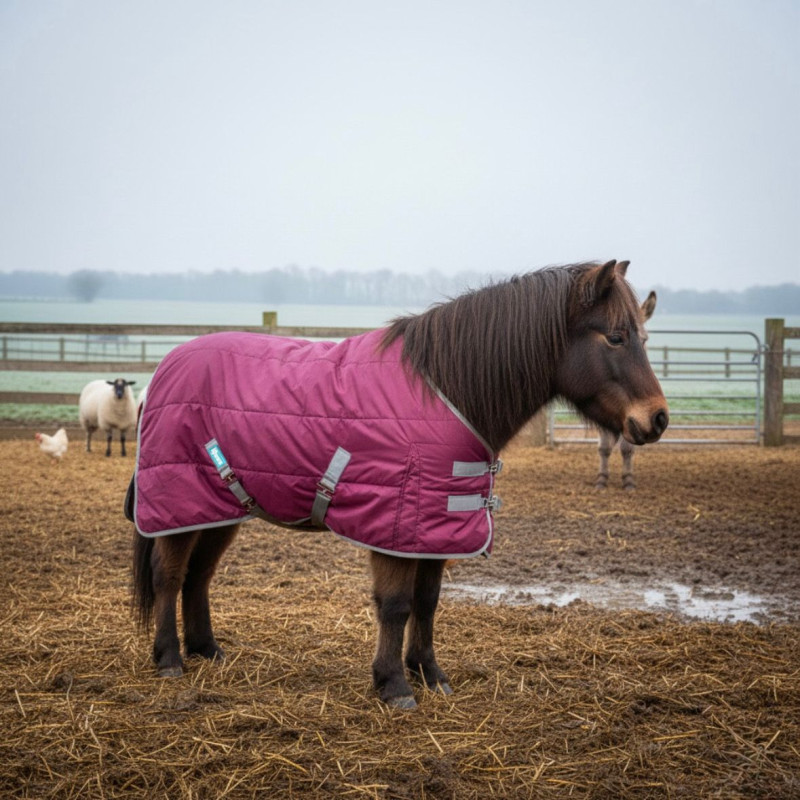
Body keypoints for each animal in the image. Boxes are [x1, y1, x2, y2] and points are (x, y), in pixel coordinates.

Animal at [595, 290, 657, 490]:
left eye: (645, 339)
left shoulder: (636, 417)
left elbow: (627, 448)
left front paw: (628, 480)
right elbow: (605, 447)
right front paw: (602, 479)